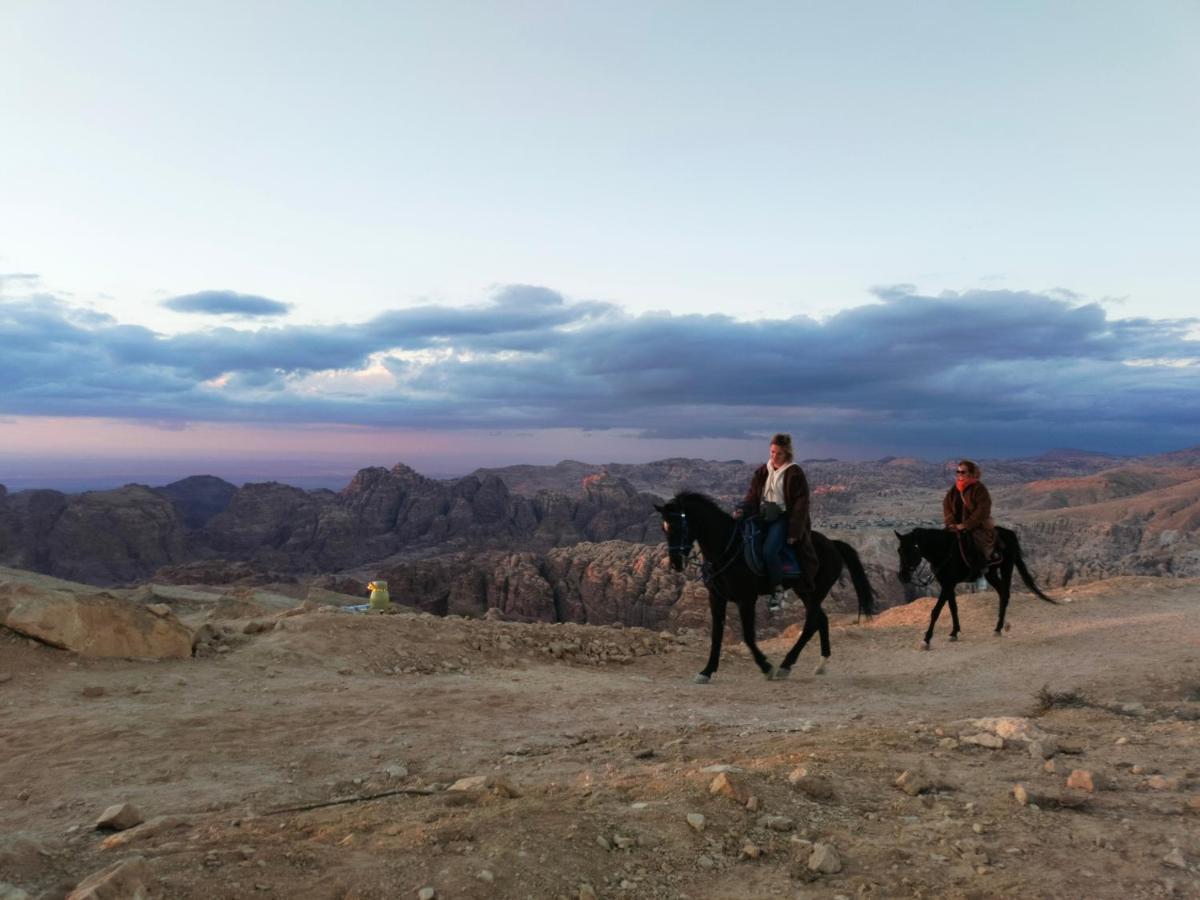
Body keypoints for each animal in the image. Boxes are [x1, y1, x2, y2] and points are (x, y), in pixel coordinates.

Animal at [657, 494, 873, 681]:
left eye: (681, 527)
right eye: (664, 529)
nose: (676, 563)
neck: (727, 549)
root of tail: (832, 544)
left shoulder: (746, 598)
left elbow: (748, 635)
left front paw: (766, 666)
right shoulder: (716, 597)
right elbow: (716, 634)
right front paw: (707, 671)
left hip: (815, 590)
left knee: (812, 621)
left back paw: (786, 665)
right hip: (804, 590)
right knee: (821, 618)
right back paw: (821, 664)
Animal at [897, 525, 1056, 652]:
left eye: (912, 549)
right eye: (899, 550)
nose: (903, 576)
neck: (944, 550)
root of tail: (1009, 532)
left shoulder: (948, 584)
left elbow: (936, 611)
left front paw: (926, 640)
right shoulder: (948, 584)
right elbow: (953, 607)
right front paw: (954, 632)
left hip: (1006, 567)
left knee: (1005, 593)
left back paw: (998, 628)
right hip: (991, 573)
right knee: (1002, 593)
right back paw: (1002, 625)